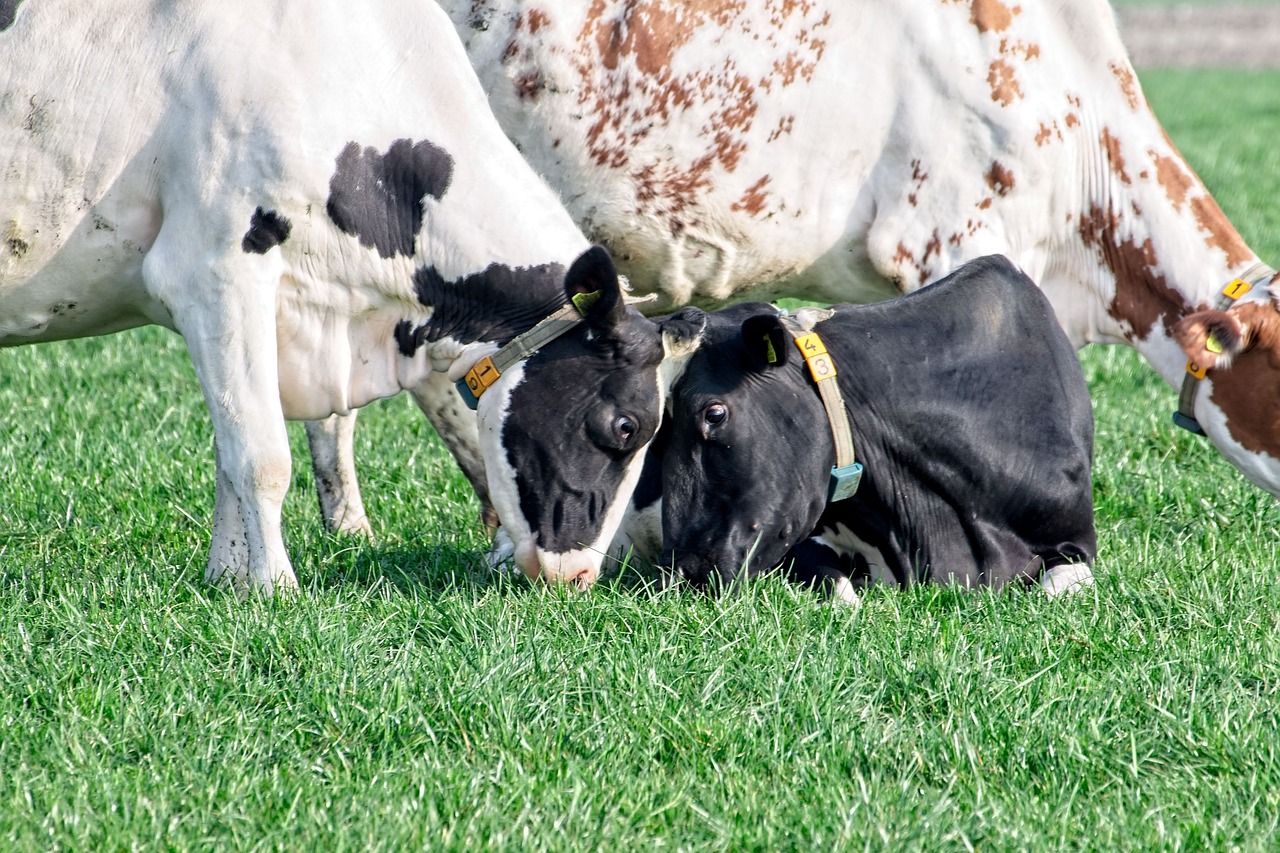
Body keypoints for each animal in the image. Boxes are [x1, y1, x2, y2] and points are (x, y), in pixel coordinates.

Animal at [0, 0, 588, 591]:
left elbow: (230, 447)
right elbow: (261, 458)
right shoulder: (210, 272)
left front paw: (226, 580)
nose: (581, 576)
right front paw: (274, 587)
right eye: (610, 427)